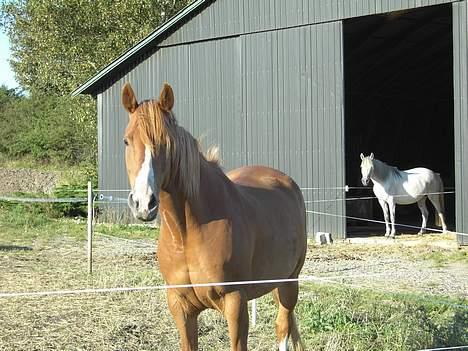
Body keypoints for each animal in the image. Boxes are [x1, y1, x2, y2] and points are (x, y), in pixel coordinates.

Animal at [120, 81, 308, 350]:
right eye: (127, 141)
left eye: (166, 142)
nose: (144, 203)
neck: (187, 233)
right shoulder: (181, 308)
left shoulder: (235, 303)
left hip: (290, 282)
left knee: (282, 327)